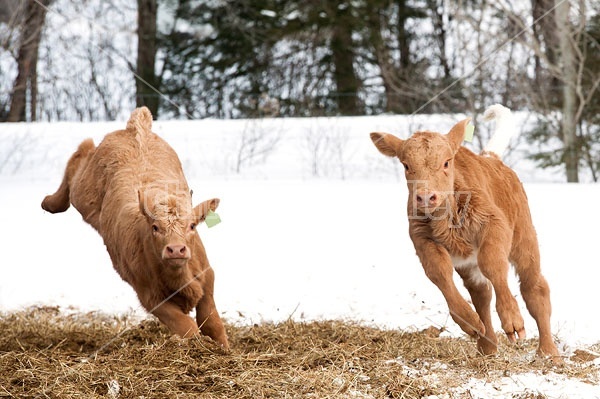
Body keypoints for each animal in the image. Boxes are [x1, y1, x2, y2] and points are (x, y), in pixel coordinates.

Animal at [42, 107, 230, 350]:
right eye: (155, 227)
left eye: (192, 226)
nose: (176, 250)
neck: (179, 277)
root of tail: (134, 129)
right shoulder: (149, 296)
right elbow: (186, 326)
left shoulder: (207, 277)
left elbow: (212, 321)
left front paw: (224, 349)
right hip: (83, 193)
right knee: (80, 157)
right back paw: (49, 202)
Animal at [370, 105, 564, 362]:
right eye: (406, 165)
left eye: (446, 163)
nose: (425, 197)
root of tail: (491, 158)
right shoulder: (422, 240)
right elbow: (439, 272)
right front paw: (470, 323)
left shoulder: (494, 224)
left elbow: (493, 263)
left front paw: (512, 321)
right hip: (469, 264)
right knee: (481, 293)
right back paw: (487, 345)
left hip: (524, 240)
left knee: (534, 287)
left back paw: (548, 352)